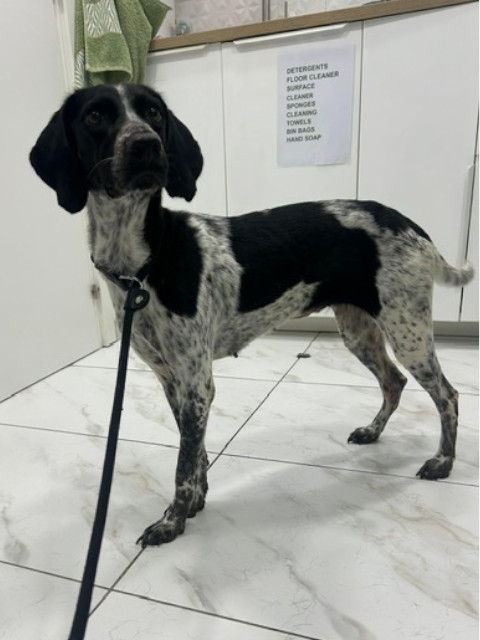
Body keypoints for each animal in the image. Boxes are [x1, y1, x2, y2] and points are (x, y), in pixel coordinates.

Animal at [30, 84, 473, 547]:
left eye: (152, 112)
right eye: (95, 116)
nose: (146, 145)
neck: (144, 263)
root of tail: (409, 224)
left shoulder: (196, 383)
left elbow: (183, 464)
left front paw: (173, 520)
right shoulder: (173, 380)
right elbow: (194, 452)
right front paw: (196, 501)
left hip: (408, 330)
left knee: (447, 395)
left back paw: (442, 462)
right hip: (359, 329)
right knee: (394, 381)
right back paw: (373, 431)